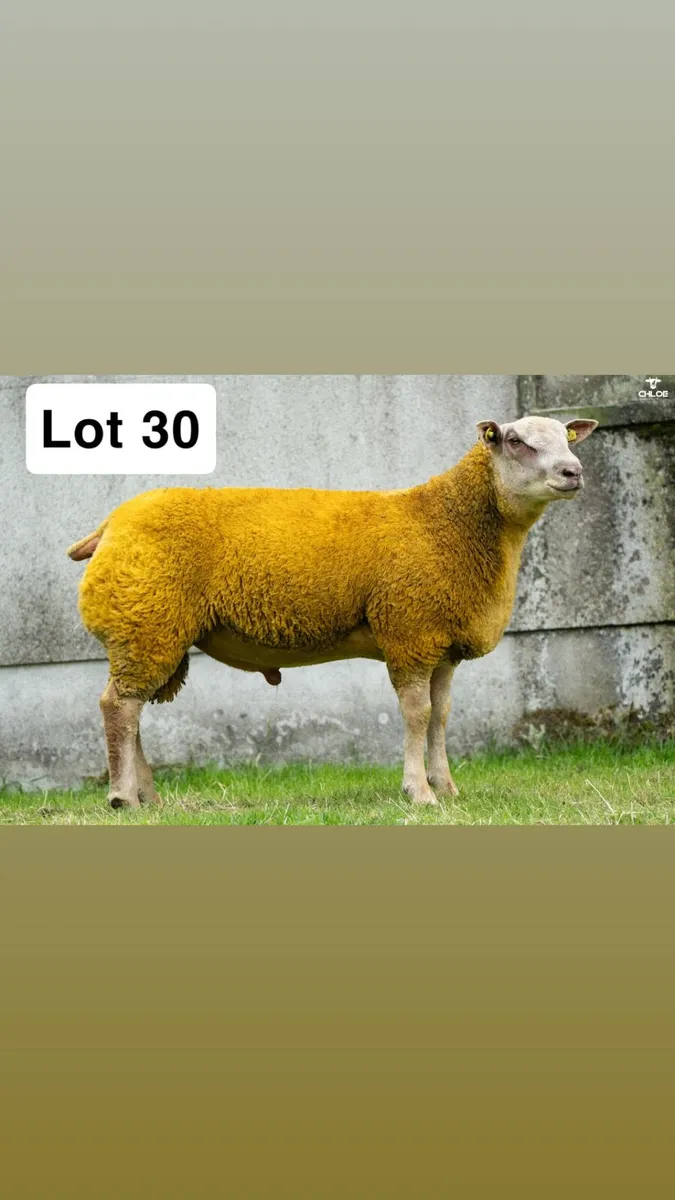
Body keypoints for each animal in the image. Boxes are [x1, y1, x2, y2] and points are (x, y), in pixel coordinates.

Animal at [67, 414, 597, 809]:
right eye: (515, 441)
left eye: (566, 438)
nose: (573, 472)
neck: (448, 521)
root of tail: (110, 524)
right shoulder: (410, 631)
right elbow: (417, 714)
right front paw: (419, 793)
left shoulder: (442, 644)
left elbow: (442, 716)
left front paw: (447, 788)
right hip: (145, 622)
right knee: (118, 707)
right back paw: (122, 797)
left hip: (151, 630)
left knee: (132, 711)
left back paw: (148, 799)